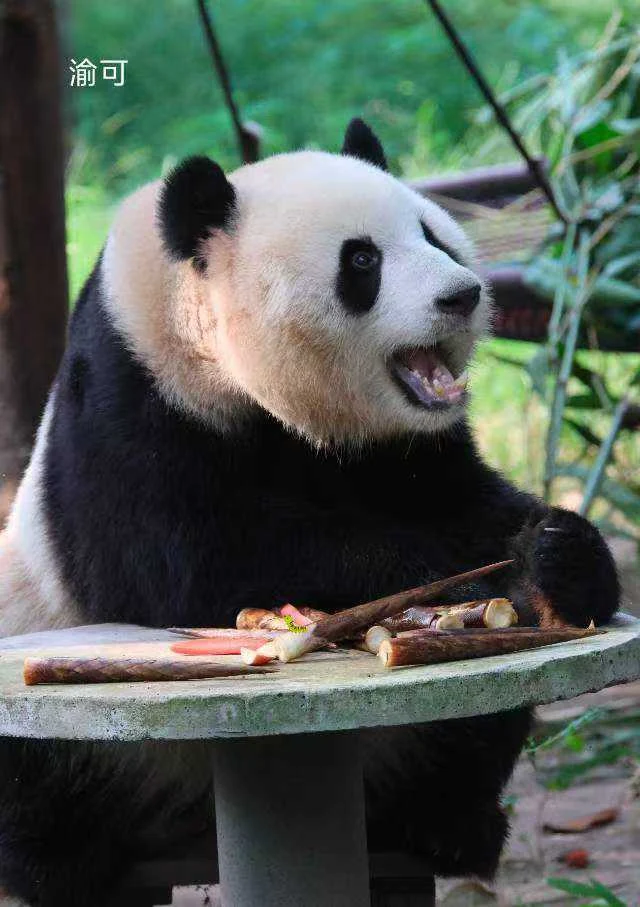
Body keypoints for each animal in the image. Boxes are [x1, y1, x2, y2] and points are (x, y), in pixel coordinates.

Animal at [0, 119, 619, 907]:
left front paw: (559, 555)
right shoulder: (133, 398)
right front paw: (469, 577)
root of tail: (191, 817)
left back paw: (448, 822)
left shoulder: (410, 449)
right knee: (33, 770)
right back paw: (56, 857)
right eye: (362, 260)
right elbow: (194, 562)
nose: (463, 294)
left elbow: (475, 501)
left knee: (474, 727)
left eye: (434, 234)